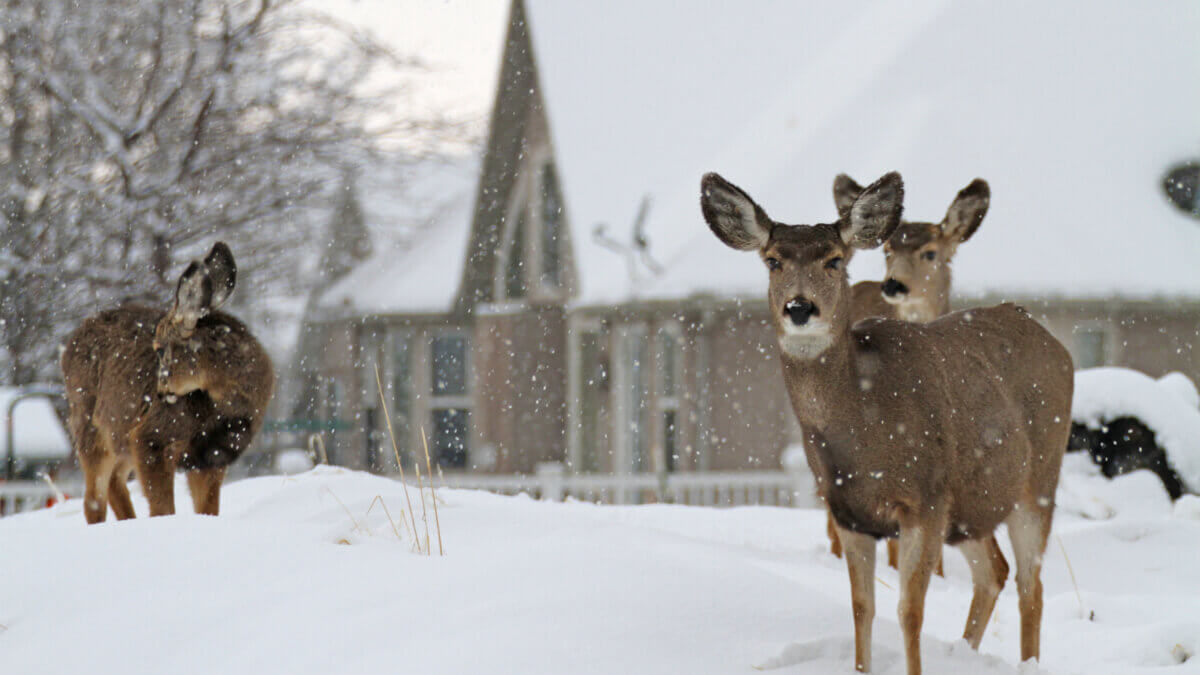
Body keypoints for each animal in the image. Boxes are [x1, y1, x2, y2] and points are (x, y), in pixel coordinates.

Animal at [61, 242, 274, 523]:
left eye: (161, 349)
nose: (160, 393)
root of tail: (67, 347)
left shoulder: (212, 457)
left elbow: (208, 510)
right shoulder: (151, 437)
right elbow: (163, 509)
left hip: (119, 432)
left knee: (114, 484)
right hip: (89, 422)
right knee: (94, 499)